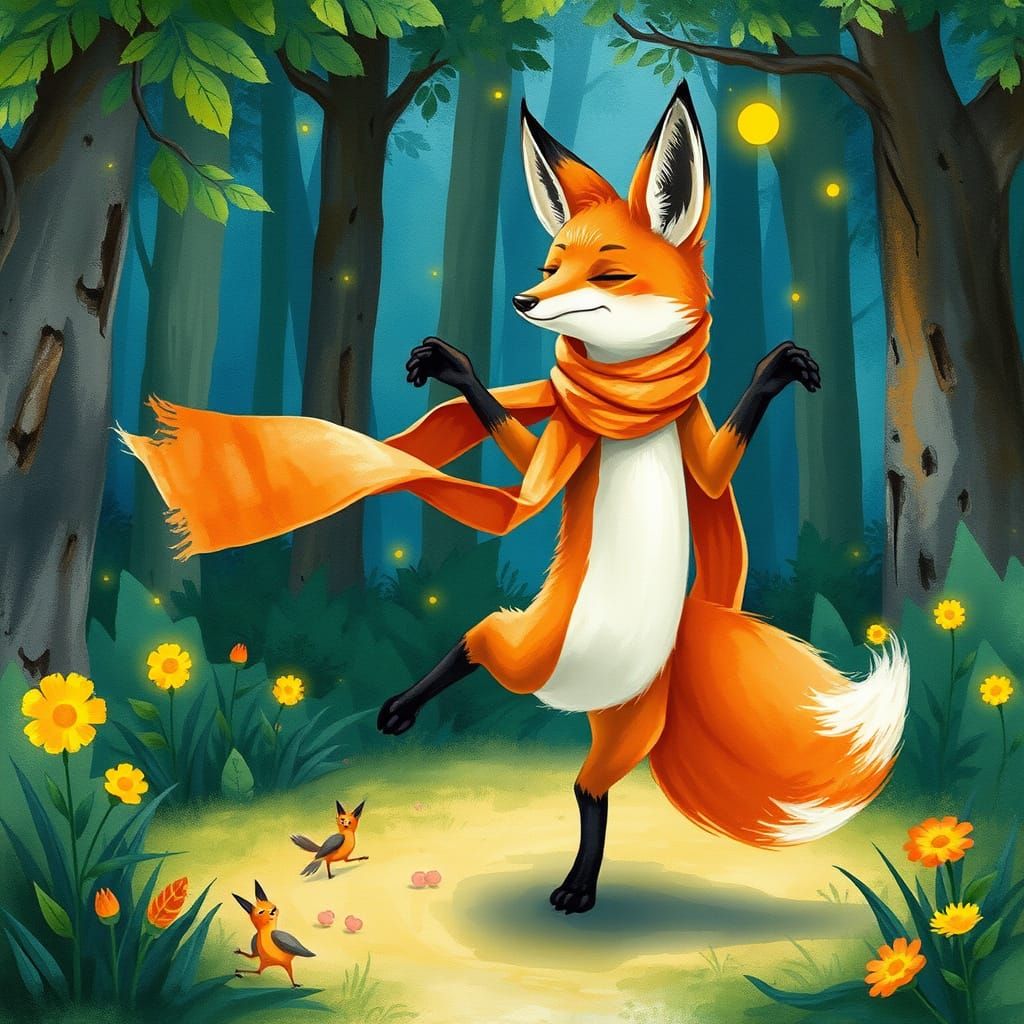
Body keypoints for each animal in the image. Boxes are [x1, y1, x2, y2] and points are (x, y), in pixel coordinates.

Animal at [121, 83, 910, 919]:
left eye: (609, 275)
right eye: (550, 263)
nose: (527, 299)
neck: (630, 401)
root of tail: (580, 704)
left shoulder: (691, 432)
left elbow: (713, 471)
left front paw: (779, 370)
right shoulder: (569, 433)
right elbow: (530, 477)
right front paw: (457, 371)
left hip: (631, 724)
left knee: (588, 790)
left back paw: (579, 883)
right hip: (533, 649)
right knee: (477, 641)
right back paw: (402, 711)